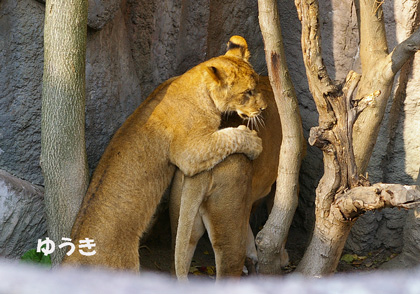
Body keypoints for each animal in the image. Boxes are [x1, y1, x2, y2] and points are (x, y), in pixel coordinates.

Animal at [61, 36, 266, 272]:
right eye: (248, 92)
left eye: (257, 86)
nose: (263, 108)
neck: (198, 82)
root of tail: (73, 256)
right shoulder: (190, 152)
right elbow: (229, 137)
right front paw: (254, 142)